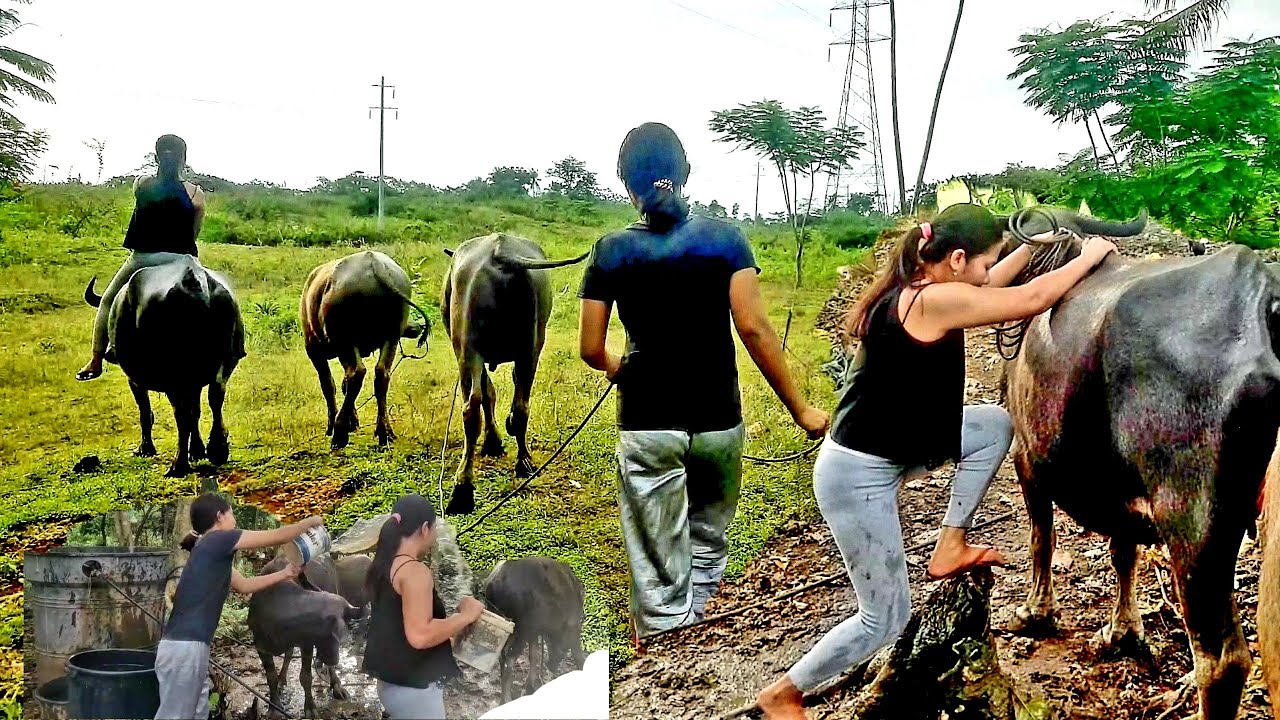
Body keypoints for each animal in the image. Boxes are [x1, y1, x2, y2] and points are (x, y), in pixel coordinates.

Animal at [85, 253, 247, 476]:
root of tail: (194, 281)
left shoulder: (135, 379)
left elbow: (146, 412)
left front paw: (146, 448)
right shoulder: (193, 382)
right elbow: (196, 411)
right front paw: (197, 450)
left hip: (174, 376)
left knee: (181, 414)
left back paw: (178, 465)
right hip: (225, 360)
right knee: (216, 396)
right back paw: (217, 449)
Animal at [299, 249, 430, 445]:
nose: (416, 327)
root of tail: (374, 263)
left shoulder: (314, 351)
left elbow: (329, 385)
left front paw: (335, 425)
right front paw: (353, 421)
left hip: (346, 339)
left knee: (356, 374)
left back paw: (339, 432)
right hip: (391, 336)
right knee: (381, 374)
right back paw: (384, 432)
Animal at [435, 233, 586, 512]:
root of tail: (500, 251)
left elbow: (488, 393)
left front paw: (493, 442)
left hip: (469, 347)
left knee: (474, 406)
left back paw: (464, 488)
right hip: (528, 346)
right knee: (519, 407)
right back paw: (520, 464)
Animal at [481, 556, 586, 702]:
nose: (551, 664)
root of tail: (494, 582)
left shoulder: (535, 631)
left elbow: (534, 655)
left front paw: (529, 686)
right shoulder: (571, 625)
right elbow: (577, 654)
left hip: (505, 625)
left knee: (502, 655)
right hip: (520, 629)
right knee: (509, 658)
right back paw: (507, 699)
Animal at [998, 210, 1280, 712]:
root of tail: (1263, 296)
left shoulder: (1026, 458)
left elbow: (1041, 539)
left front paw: (1034, 613)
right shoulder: (1120, 493)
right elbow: (1122, 551)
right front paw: (1122, 632)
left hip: (1194, 522)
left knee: (1222, 659)